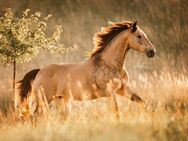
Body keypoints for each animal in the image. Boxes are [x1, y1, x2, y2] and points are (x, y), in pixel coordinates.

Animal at [17, 20, 156, 119]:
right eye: (139, 36)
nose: (152, 52)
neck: (110, 64)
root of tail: (40, 71)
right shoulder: (110, 93)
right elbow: (117, 113)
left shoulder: (123, 90)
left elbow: (144, 104)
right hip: (44, 100)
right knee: (34, 117)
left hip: (60, 100)